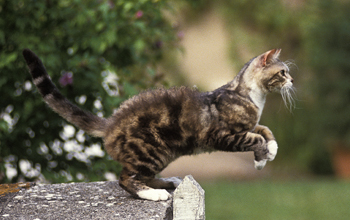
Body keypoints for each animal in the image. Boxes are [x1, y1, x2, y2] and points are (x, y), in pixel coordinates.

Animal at [22, 48, 296, 201]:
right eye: (283, 72)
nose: (293, 80)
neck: (251, 96)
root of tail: (110, 123)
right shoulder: (223, 135)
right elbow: (256, 138)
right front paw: (261, 158)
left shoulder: (246, 126)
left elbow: (265, 130)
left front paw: (270, 152)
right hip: (150, 150)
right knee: (125, 179)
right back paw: (153, 193)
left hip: (162, 154)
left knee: (140, 175)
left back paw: (165, 183)